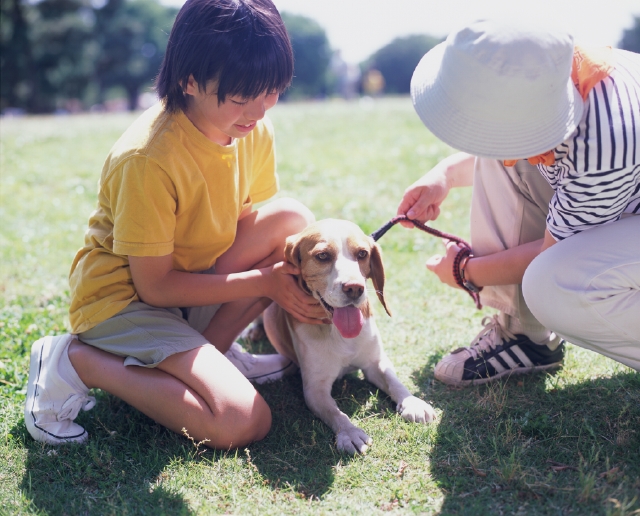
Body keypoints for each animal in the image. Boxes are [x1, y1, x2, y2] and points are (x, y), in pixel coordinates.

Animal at [262, 220, 438, 454]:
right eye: (322, 256)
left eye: (362, 253)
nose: (355, 288)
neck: (338, 332)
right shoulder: (315, 389)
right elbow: (336, 412)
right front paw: (350, 432)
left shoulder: (375, 363)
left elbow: (395, 381)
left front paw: (413, 402)